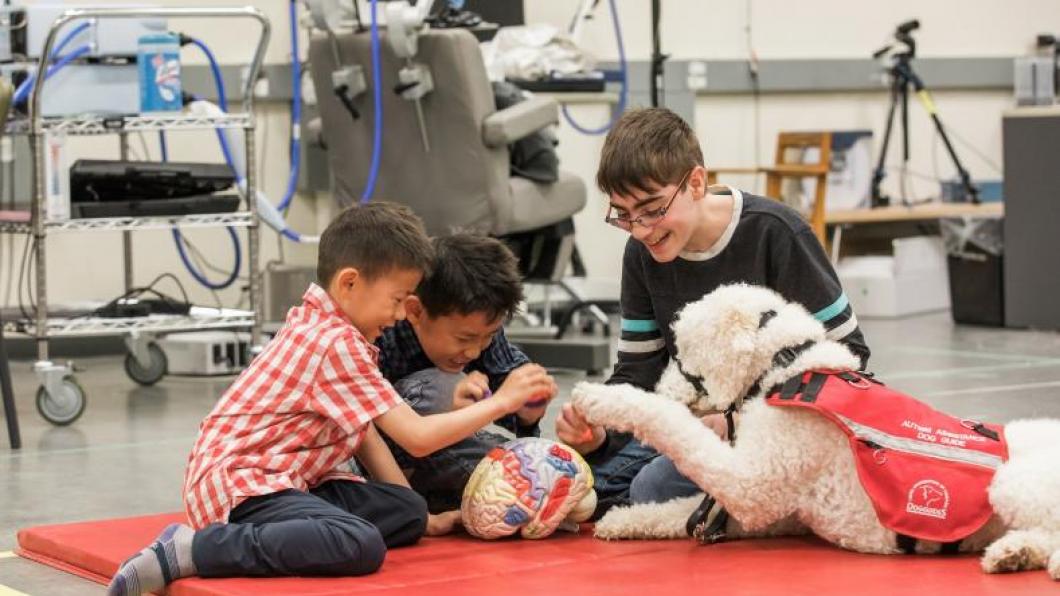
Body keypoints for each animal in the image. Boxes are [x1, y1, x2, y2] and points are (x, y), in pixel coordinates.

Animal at [572, 286, 1060, 576]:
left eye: (681, 351)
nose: (661, 386)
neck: (789, 367)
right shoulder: (765, 512)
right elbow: (679, 509)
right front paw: (622, 520)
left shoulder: (750, 486)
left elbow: (674, 427)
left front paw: (603, 399)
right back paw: (1014, 554)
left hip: (1010, 482)